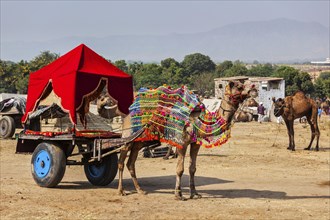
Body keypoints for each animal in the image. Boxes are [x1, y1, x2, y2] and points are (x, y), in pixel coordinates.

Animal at [117, 81, 256, 201]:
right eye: (239, 86)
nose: (254, 89)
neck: (198, 120)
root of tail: (127, 113)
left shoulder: (195, 143)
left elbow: (192, 168)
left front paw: (194, 193)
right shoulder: (181, 142)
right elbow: (180, 169)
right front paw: (178, 194)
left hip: (140, 140)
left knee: (131, 163)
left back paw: (140, 190)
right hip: (128, 136)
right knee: (121, 161)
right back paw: (121, 191)